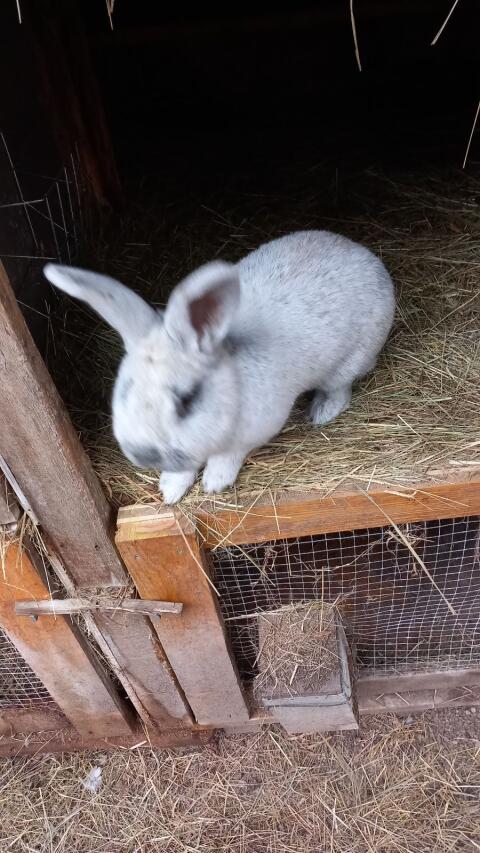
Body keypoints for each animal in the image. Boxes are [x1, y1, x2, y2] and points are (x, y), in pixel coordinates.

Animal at [44, 230, 395, 504]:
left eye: (186, 401)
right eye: (123, 391)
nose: (142, 454)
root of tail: (358, 249)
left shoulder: (253, 431)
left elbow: (228, 456)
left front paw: (214, 483)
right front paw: (170, 490)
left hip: (353, 359)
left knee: (340, 389)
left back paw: (322, 412)